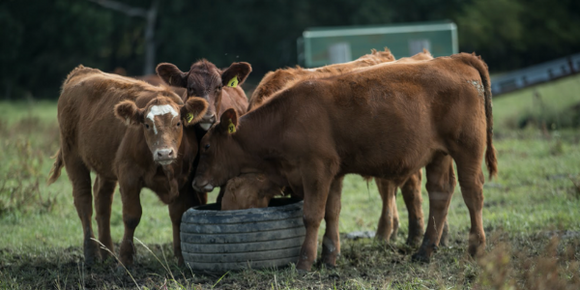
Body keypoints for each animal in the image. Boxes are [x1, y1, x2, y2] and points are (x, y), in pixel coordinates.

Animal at [47, 65, 210, 268]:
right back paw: (92, 254)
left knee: (103, 202)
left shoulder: (183, 180)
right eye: (146, 125)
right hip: (73, 157)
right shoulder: (129, 177)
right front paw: (125, 260)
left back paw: (107, 252)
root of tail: (82, 71)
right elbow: (131, 217)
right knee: (84, 202)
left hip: (106, 166)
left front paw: (181, 259)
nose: (165, 153)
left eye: (178, 123)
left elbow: (178, 214)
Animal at [193, 52, 496, 272]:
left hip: (467, 149)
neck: (286, 117)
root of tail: (455, 59)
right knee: (440, 194)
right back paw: (424, 250)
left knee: (473, 193)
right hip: (438, 155)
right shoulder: (333, 173)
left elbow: (312, 215)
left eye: (206, 146)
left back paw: (476, 249)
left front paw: (305, 262)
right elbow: (332, 212)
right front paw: (328, 258)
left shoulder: (316, 168)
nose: (196, 181)